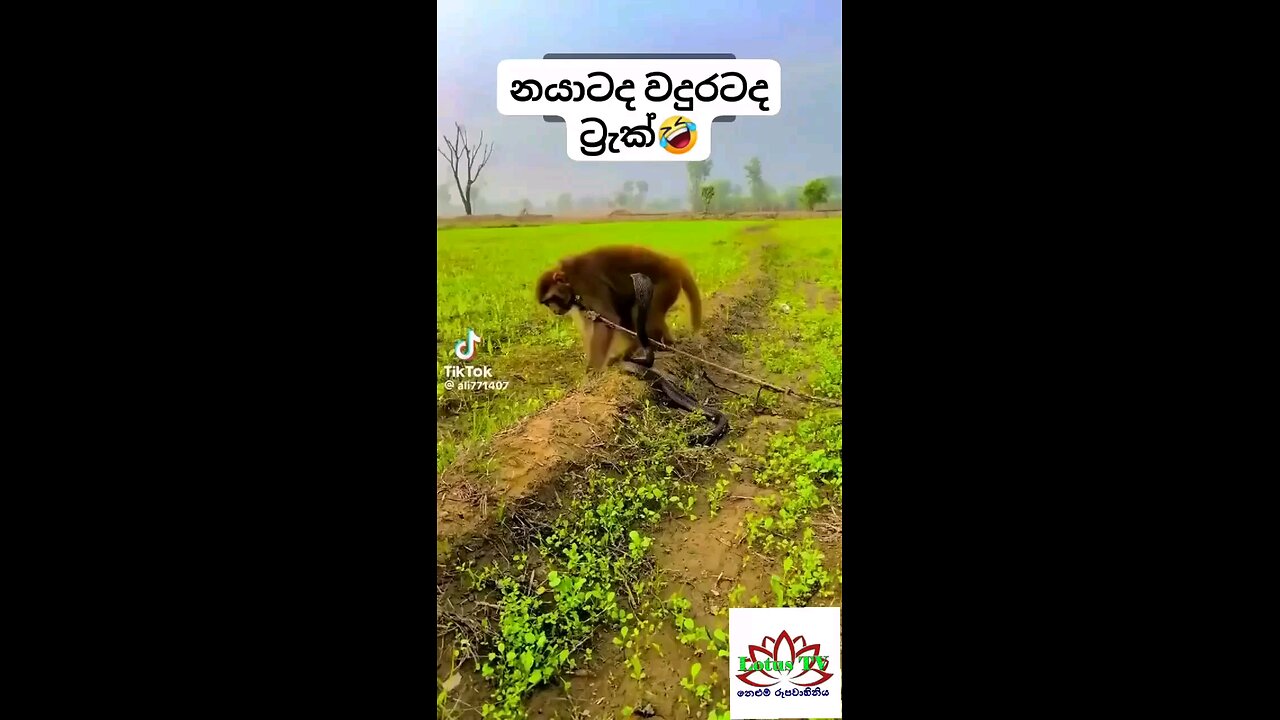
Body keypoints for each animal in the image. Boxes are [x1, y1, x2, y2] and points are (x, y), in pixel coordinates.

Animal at [536, 245, 702, 372]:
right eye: (547, 303)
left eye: (552, 299)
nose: (554, 310)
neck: (569, 277)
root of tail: (672, 263)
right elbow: (595, 322)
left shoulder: (587, 282)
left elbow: (608, 318)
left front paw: (593, 370)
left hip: (666, 285)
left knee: (643, 314)